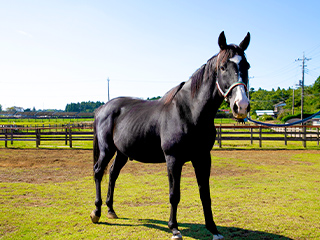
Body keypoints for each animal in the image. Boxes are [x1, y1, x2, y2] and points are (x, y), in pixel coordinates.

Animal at [89, 31, 250, 240]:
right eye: (223, 67)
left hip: (122, 153)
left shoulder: (203, 158)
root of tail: (102, 108)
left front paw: (214, 230)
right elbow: (175, 194)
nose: (241, 106)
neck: (189, 112)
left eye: (247, 66)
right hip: (106, 150)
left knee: (112, 174)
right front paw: (174, 228)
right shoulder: (173, 159)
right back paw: (97, 212)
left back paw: (111, 210)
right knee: (98, 172)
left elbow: (205, 194)